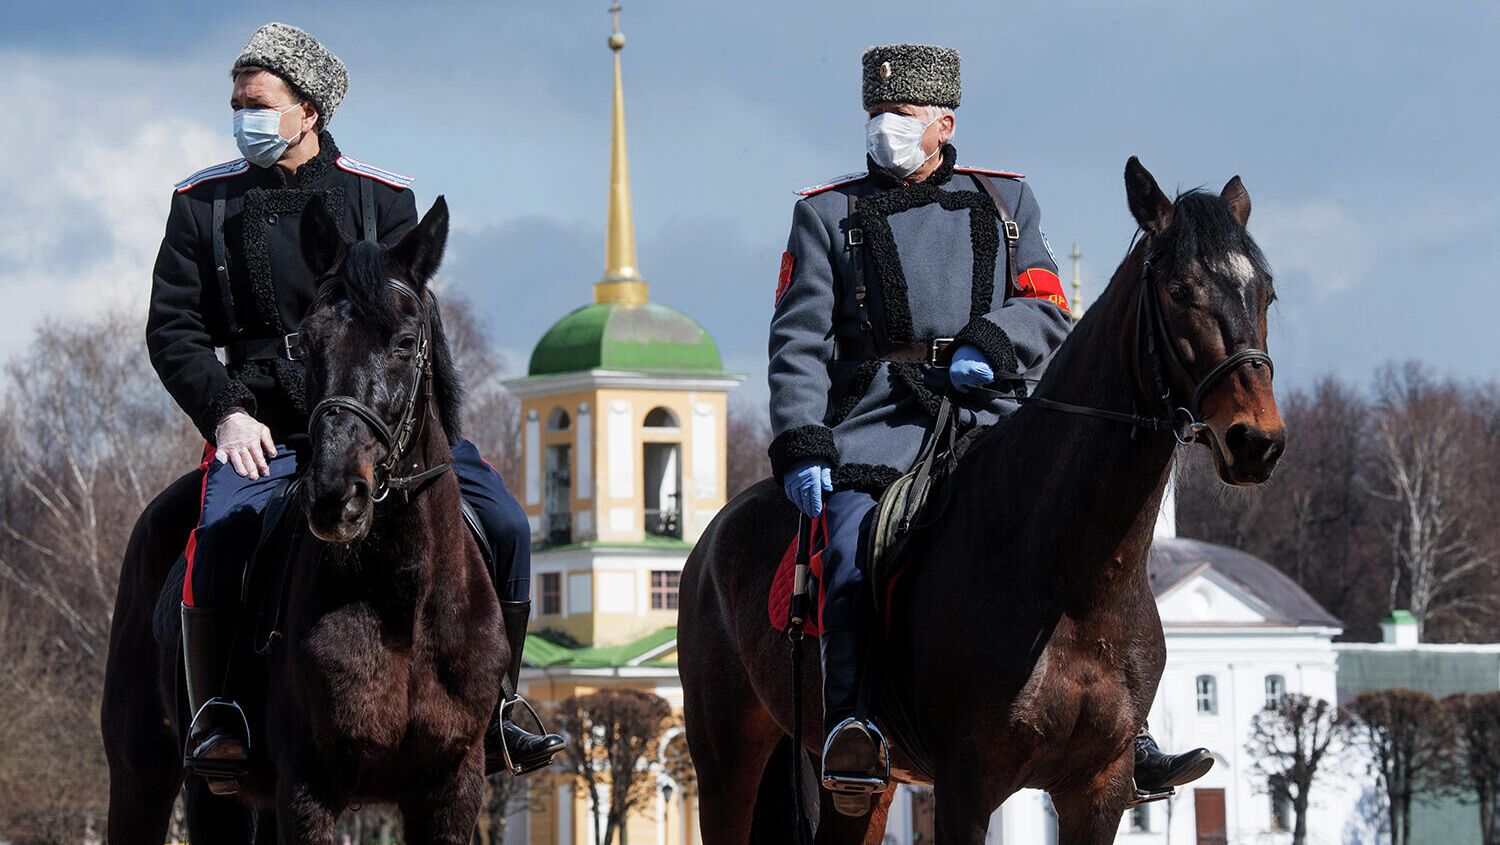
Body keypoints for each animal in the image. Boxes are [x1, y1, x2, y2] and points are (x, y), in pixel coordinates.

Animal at [104, 195, 504, 840]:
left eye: (404, 341)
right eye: (308, 343)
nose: (335, 495)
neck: (403, 603)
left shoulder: (452, 789)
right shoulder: (307, 789)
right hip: (155, 775)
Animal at [681, 155, 1290, 840]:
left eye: (1265, 293)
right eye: (1181, 291)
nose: (1256, 440)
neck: (1072, 580)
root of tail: (715, 536)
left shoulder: (1099, 790)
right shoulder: (966, 786)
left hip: (864, 788)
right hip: (728, 767)